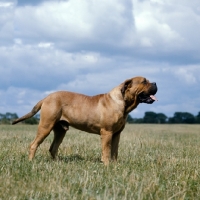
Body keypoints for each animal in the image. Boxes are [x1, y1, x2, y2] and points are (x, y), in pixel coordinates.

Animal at [12, 76, 158, 165]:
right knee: (33, 145)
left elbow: (114, 151)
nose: (156, 83)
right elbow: (106, 151)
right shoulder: (107, 133)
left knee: (53, 148)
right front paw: (107, 165)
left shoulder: (116, 134)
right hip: (46, 126)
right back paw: (31, 162)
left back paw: (58, 163)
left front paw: (115, 165)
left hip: (60, 130)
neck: (122, 102)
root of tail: (46, 98)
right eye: (144, 81)